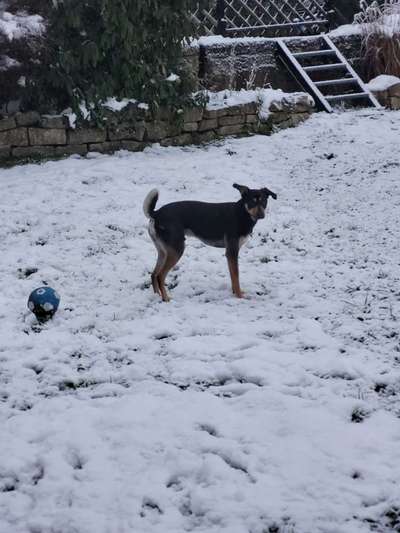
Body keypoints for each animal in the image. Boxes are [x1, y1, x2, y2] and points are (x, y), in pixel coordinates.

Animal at [144, 182, 278, 300]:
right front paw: (239, 296)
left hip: (163, 251)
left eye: (264, 201)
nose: (261, 215)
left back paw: (156, 295)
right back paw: (166, 298)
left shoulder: (231, 253)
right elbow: (236, 276)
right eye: (251, 202)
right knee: (160, 275)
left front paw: (235, 292)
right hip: (177, 250)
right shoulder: (232, 252)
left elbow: (232, 276)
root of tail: (156, 213)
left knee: (154, 274)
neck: (242, 213)